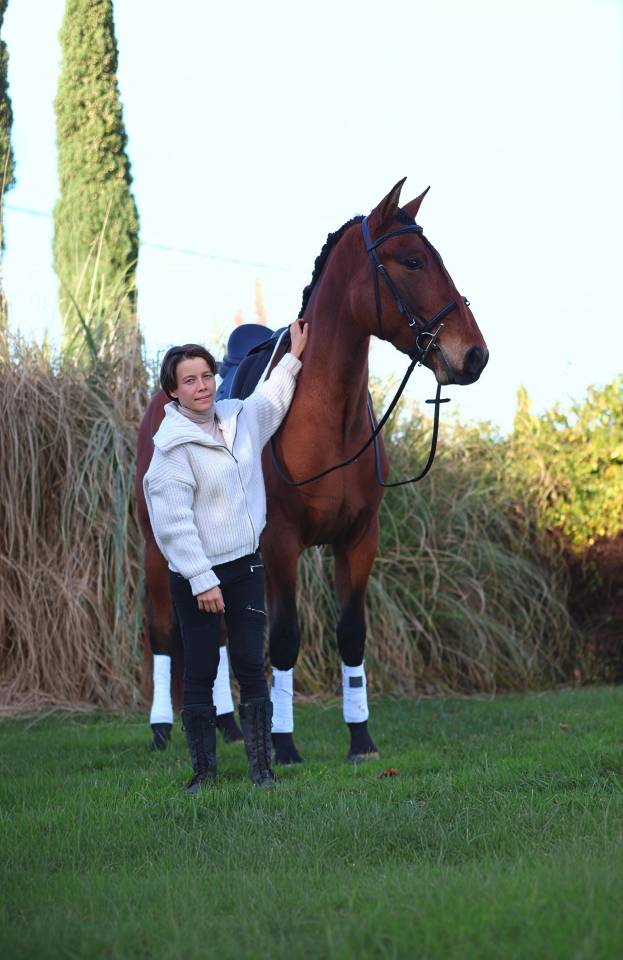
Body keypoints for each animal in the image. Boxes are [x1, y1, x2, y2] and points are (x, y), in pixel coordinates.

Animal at [135, 178, 488, 761]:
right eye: (413, 261)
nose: (475, 355)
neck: (325, 415)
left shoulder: (359, 539)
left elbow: (351, 634)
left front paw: (360, 737)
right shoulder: (281, 543)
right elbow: (283, 640)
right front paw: (283, 744)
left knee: (220, 634)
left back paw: (228, 726)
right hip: (157, 548)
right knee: (164, 632)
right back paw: (163, 728)